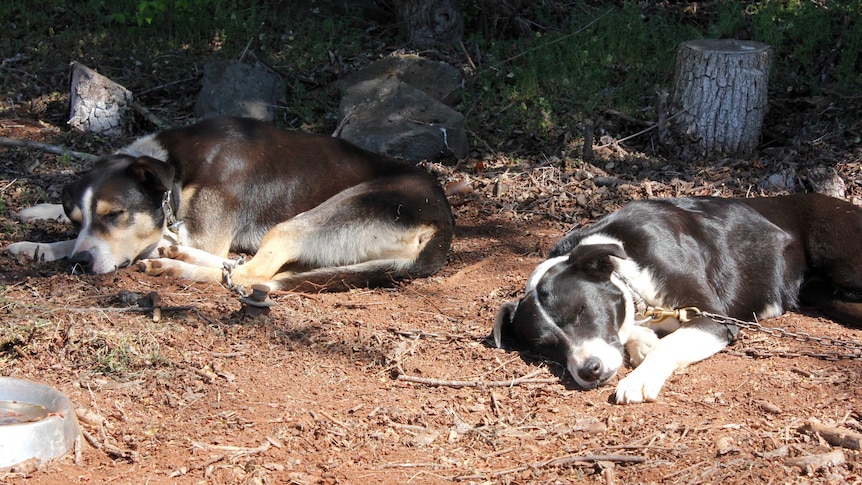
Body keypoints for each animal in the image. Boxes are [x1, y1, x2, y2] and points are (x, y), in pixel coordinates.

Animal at [6, 116, 456, 292]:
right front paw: (35, 237)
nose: (80, 265)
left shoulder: (200, 234)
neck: (176, 169)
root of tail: (442, 225)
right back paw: (177, 259)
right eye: (76, 217)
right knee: (246, 271)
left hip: (315, 217)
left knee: (246, 275)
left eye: (115, 215)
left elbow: (142, 242)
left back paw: (175, 265)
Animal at [496, 195, 862, 402]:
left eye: (582, 311)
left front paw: (640, 378)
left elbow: (668, 345)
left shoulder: (715, 318)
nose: (588, 370)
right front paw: (641, 341)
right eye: (546, 347)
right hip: (824, 293)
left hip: (844, 264)